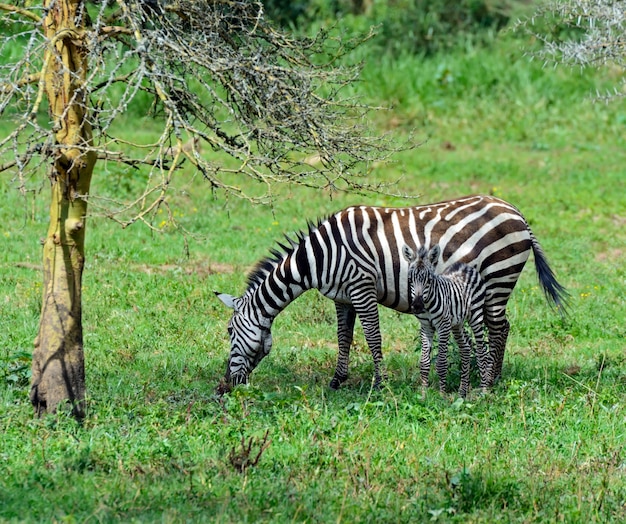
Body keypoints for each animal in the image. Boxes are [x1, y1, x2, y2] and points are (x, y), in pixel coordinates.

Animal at [402, 245, 490, 398]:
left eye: (429, 280)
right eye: (410, 279)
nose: (417, 306)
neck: (427, 304)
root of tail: (466, 266)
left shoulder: (443, 326)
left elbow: (441, 363)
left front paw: (442, 395)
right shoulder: (426, 327)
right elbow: (424, 362)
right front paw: (423, 394)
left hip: (476, 315)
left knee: (481, 351)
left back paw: (483, 391)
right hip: (457, 324)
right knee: (466, 347)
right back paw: (462, 392)